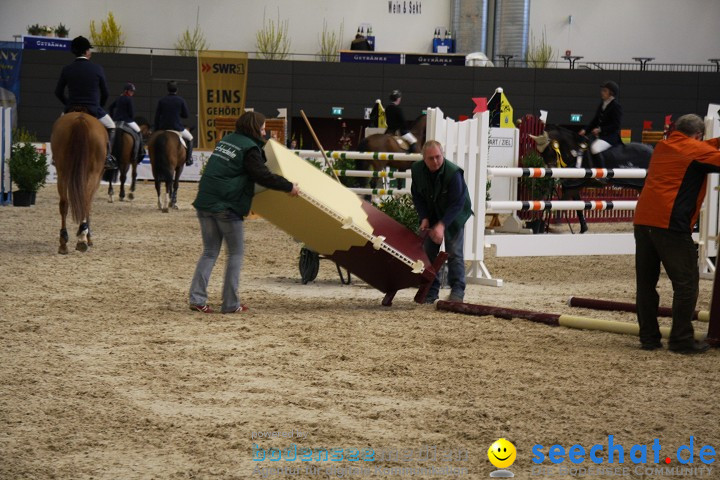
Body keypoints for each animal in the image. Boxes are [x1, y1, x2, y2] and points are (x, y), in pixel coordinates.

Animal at [49, 113, 107, 255]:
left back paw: (63, 243)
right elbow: (88, 205)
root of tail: (80, 118)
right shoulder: (96, 178)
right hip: (93, 173)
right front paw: (88, 237)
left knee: (64, 204)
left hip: (62, 173)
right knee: (85, 201)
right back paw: (82, 239)